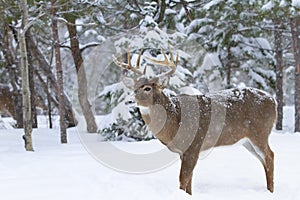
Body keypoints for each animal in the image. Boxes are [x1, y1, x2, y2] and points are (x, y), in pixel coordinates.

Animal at [113, 48, 276, 195]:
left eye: (147, 88)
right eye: (134, 88)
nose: (128, 101)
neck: (175, 121)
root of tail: (273, 100)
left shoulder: (194, 145)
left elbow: (182, 180)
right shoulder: (183, 152)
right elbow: (189, 182)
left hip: (260, 132)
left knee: (270, 155)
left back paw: (271, 192)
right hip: (247, 141)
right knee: (264, 160)